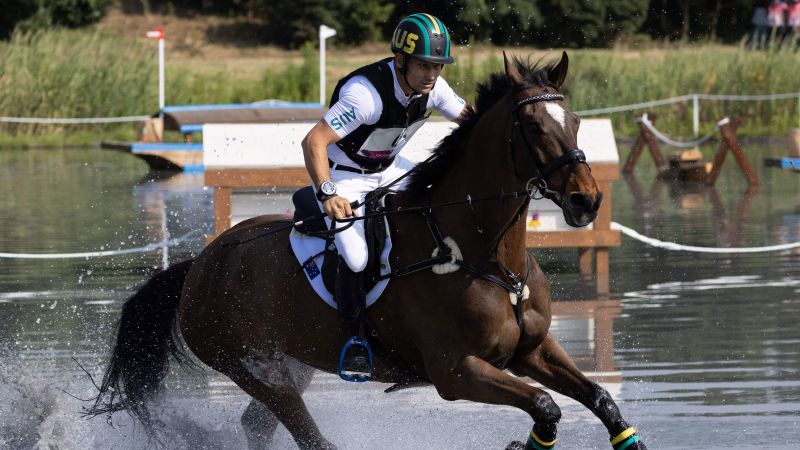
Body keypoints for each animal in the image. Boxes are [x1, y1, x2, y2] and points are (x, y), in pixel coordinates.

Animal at [87, 53, 648, 450]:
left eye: (575, 121)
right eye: (533, 127)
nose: (586, 200)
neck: (484, 254)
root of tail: (199, 265)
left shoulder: (531, 351)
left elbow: (599, 399)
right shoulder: (456, 372)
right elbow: (545, 407)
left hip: (292, 361)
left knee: (259, 426)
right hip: (252, 367)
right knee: (308, 436)